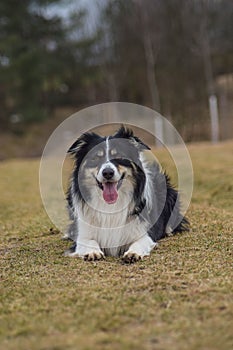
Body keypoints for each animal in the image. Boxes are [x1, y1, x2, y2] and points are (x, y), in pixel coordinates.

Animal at [64, 126, 188, 262]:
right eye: (95, 158)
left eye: (119, 156)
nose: (108, 173)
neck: (111, 205)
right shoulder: (84, 233)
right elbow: (88, 241)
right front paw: (92, 252)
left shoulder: (145, 231)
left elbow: (139, 242)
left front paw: (133, 253)